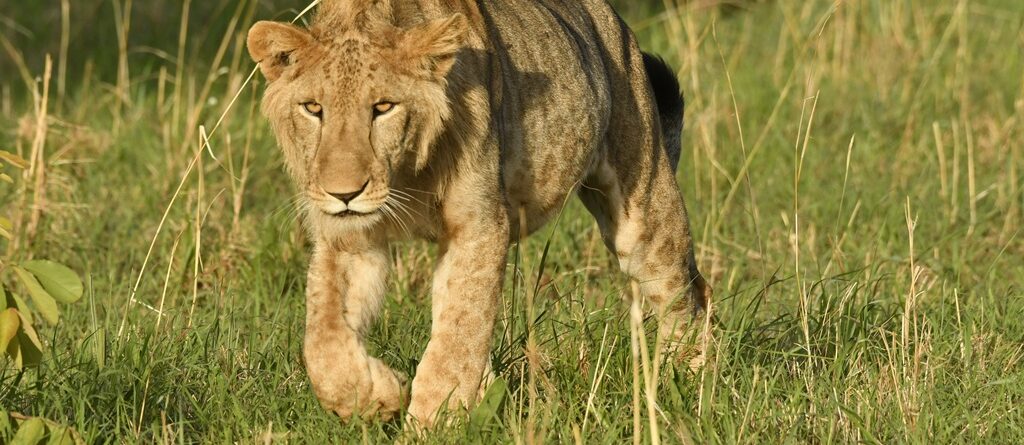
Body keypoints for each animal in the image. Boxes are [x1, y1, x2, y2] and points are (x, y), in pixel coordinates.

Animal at [247, 0, 711, 427]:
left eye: (383, 107)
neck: (404, 177)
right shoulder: (348, 238)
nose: (344, 193)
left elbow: (457, 338)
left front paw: (432, 423)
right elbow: (323, 339)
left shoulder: (480, 225)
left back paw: (684, 385)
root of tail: (615, 21)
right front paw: (377, 395)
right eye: (312, 109)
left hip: (643, 207)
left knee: (688, 294)